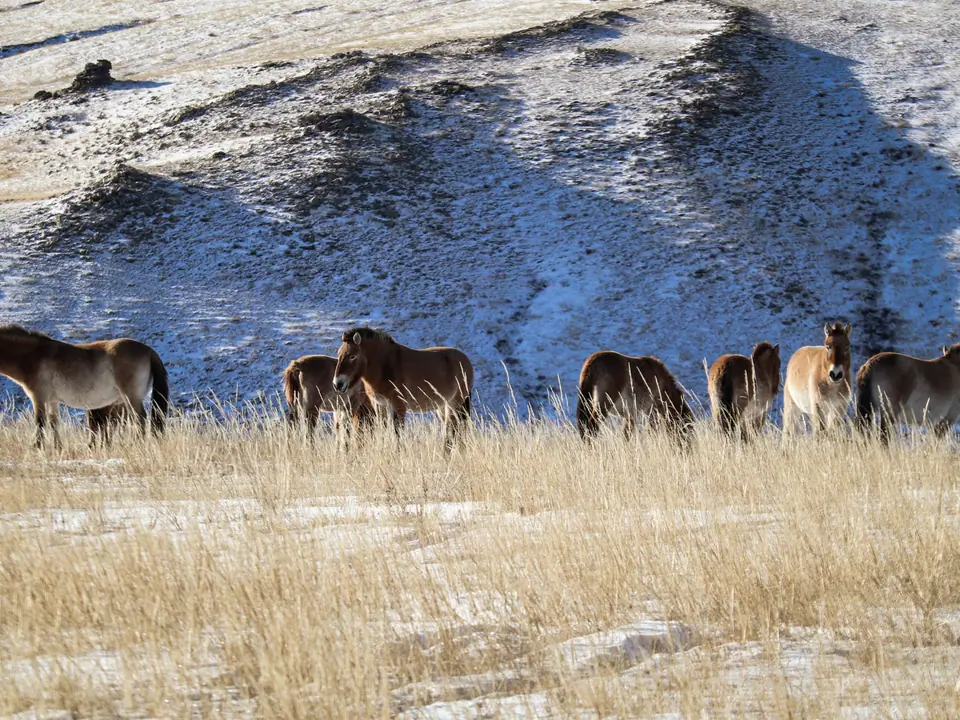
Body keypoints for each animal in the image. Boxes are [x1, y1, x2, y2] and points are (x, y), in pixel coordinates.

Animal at [0, 325, 169, 449]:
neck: (35, 356)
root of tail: (149, 351)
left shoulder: (39, 398)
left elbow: (40, 424)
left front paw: (37, 448)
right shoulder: (52, 401)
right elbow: (54, 424)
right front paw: (58, 448)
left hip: (131, 398)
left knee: (139, 420)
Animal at [332, 327, 474, 449]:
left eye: (352, 356)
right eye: (339, 354)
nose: (338, 384)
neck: (386, 365)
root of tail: (466, 360)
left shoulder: (399, 407)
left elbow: (397, 435)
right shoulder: (380, 405)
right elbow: (383, 431)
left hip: (454, 405)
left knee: (454, 431)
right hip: (442, 406)